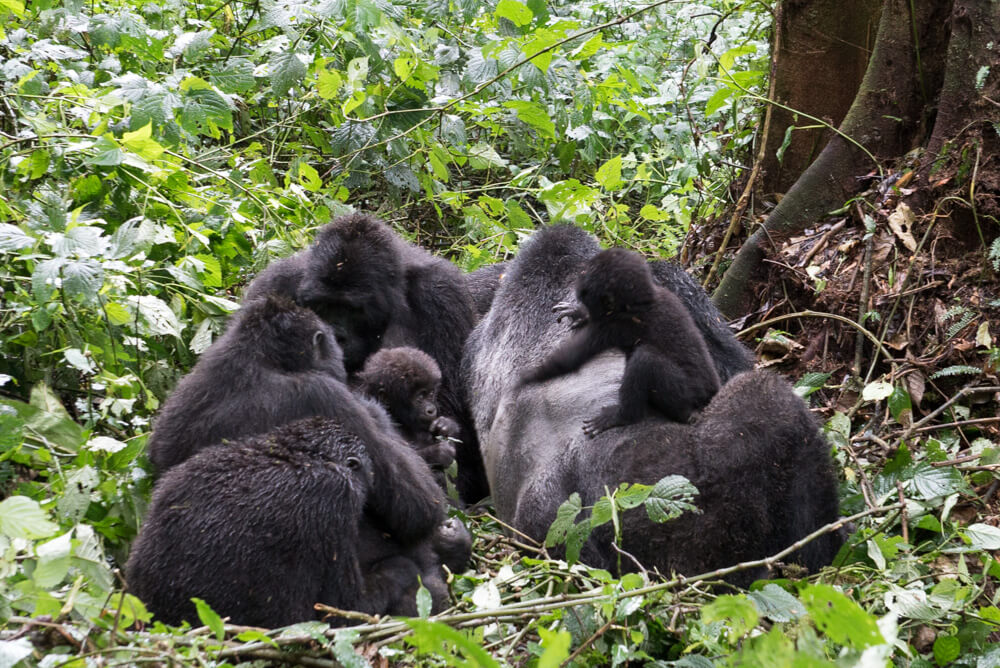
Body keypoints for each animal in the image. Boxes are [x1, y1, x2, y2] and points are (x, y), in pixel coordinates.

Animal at [520, 249, 724, 434]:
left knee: (645, 359)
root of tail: (713, 395)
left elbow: (567, 360)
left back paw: (625, 416)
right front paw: (580, 312)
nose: (579, 284)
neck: (643, 300)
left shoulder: (612, 326)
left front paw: (523, 379)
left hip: (691, 395)